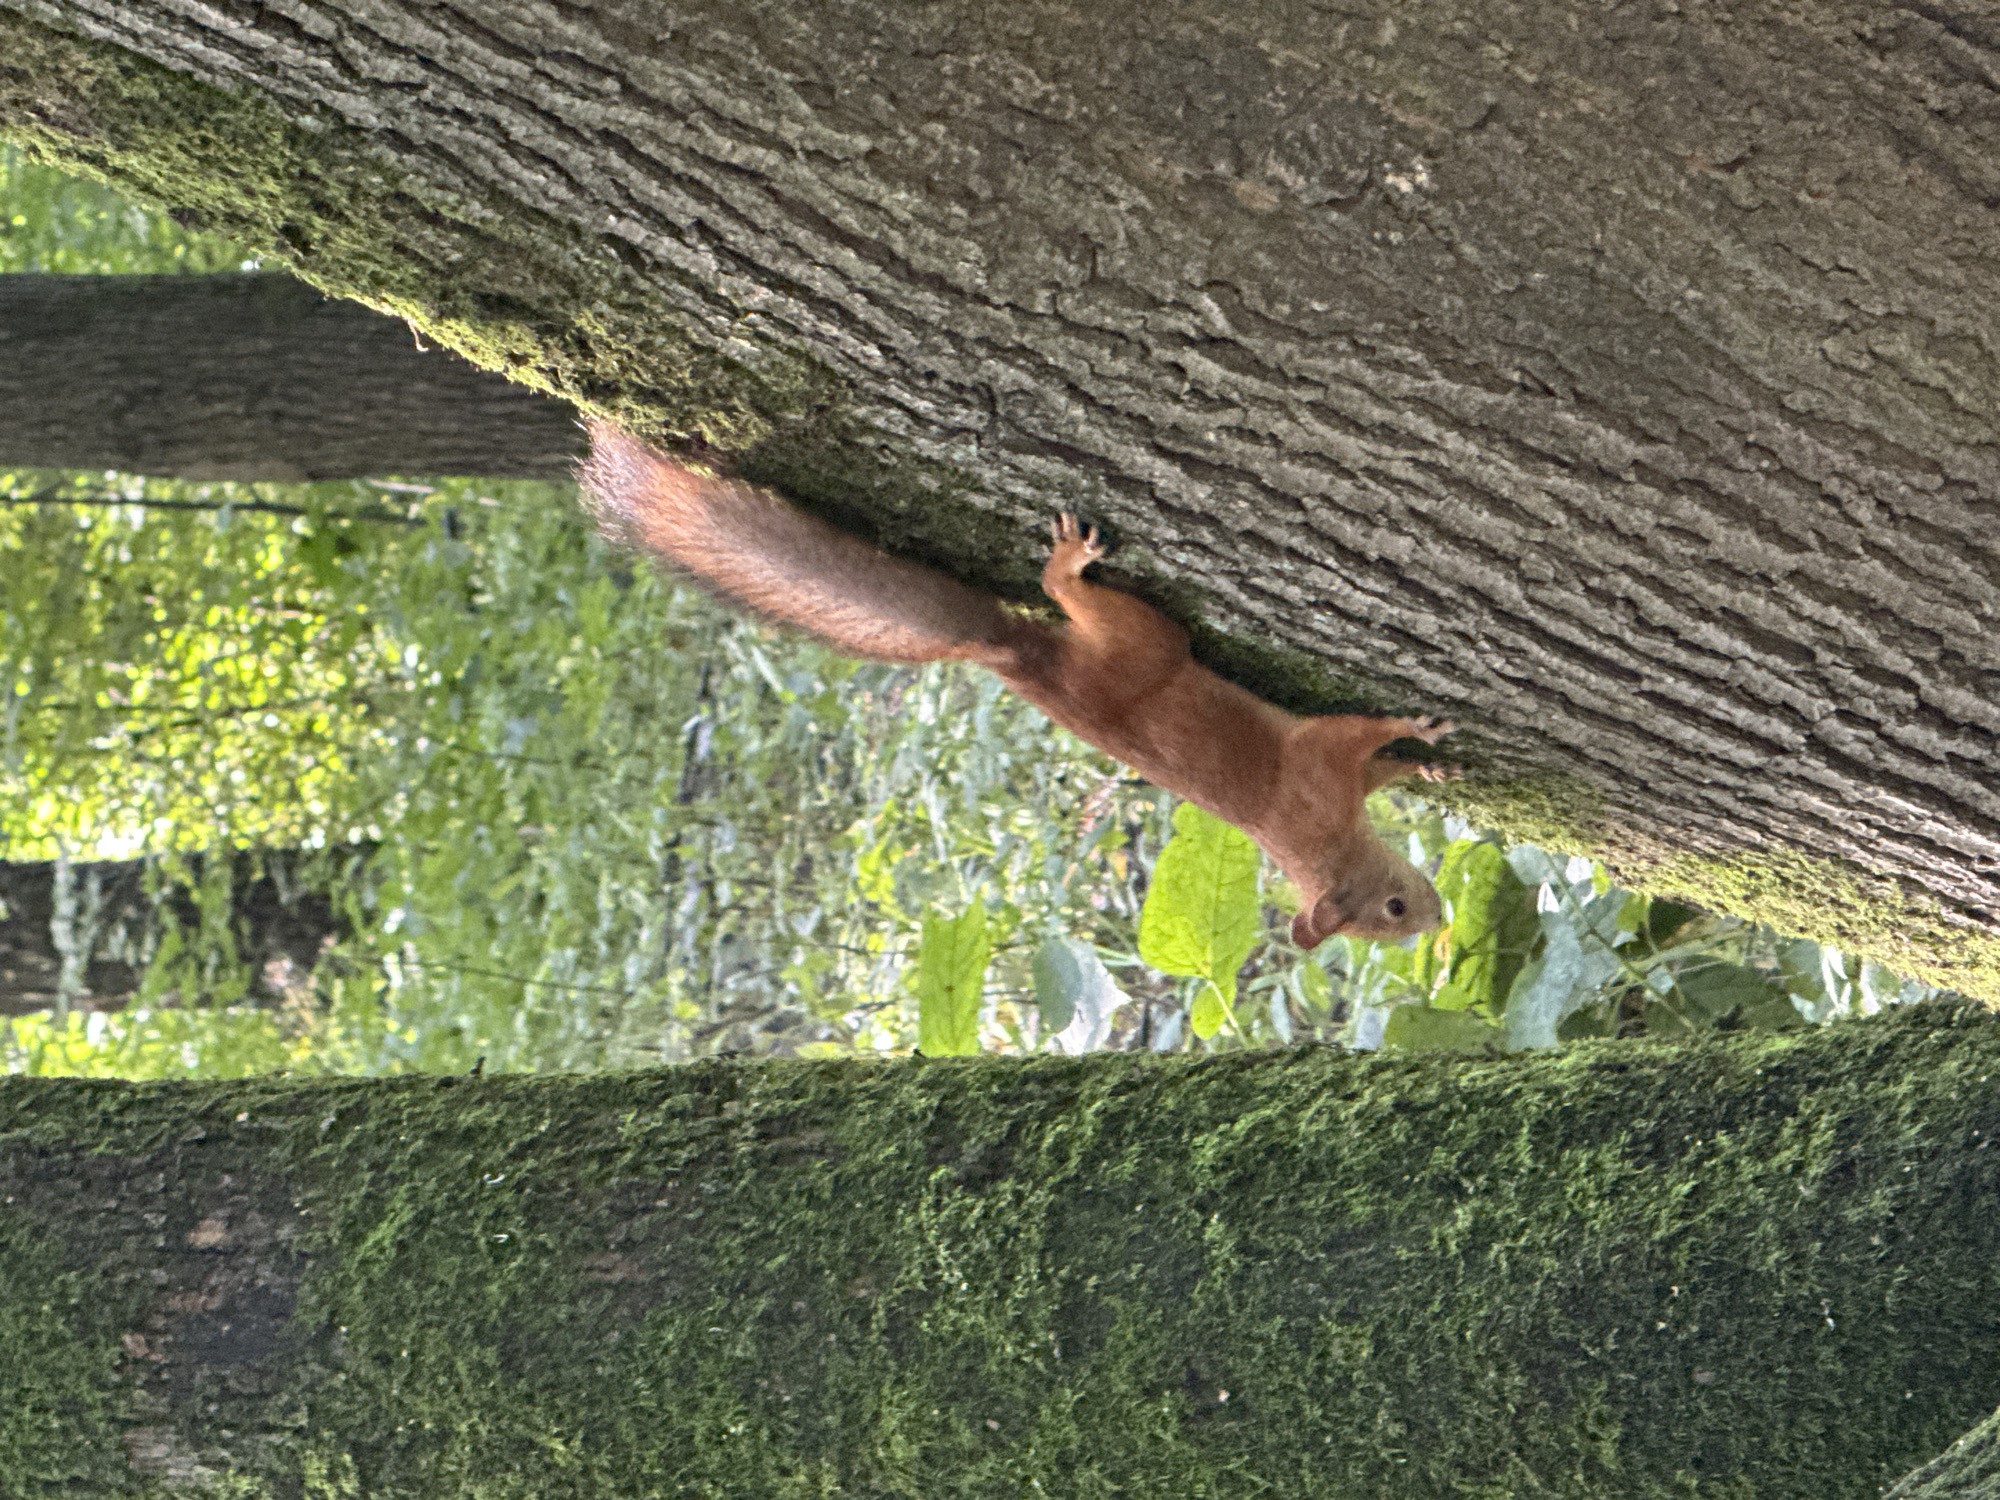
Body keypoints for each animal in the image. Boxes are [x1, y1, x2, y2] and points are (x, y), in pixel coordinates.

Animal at [579, 422, 1459, 948]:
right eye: (1393, 912)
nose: (1440, 916)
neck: (1323, 847)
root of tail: (1028, 663)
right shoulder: (1314, 772)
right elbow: (1351, 731)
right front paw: (1418, 726)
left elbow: (1381, 771)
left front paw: (1423, 766)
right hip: (1146, 643)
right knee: (1079, 599)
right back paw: (1067, 564)